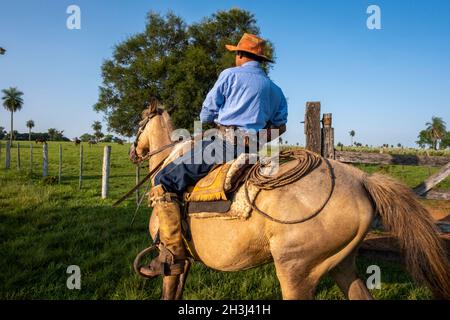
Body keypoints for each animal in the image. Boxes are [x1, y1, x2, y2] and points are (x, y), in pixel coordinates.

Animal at [129, 102, 450, 300]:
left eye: (139, 122)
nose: (133, 152)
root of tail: (362, 179)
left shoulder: (175, 261)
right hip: (342, 264)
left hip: (296, 270)